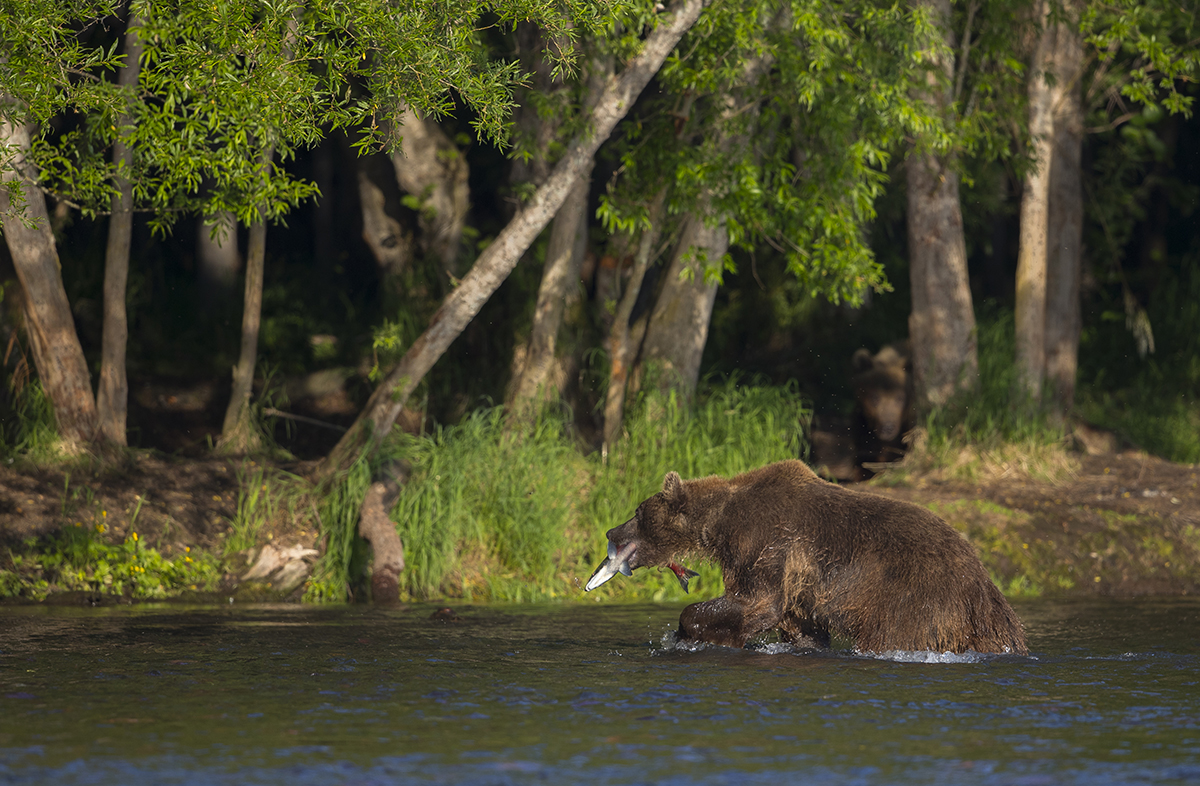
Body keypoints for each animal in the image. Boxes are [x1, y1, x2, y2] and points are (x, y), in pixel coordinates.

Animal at [600, 458, 1032, 652]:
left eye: (638, 511)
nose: (611, 531)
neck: (720, 523)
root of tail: (984, 582)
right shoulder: (799, 582)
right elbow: (797, 624)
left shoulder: (767, 542)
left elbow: (757, 600)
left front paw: (694, 630)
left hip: (914, 598)